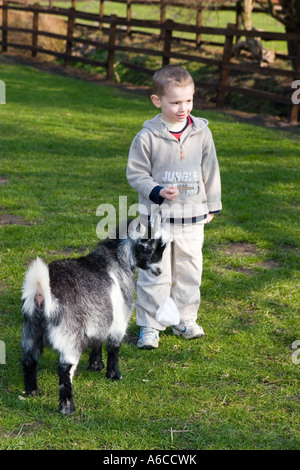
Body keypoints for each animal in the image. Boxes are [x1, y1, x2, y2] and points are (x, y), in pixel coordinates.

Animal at [20, 214, 168, 414]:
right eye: (151, 247)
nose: (159, 271)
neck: (117, 260)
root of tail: (42, 292)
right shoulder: (120, 318)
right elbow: (114, 347)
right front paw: (114, 374)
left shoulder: (100, 317)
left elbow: (98, 339)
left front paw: (96, 365)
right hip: (69, 335)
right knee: (64, 369)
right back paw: (67, 407)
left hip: (31, 330)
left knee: (29, 360)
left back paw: (32, 392)